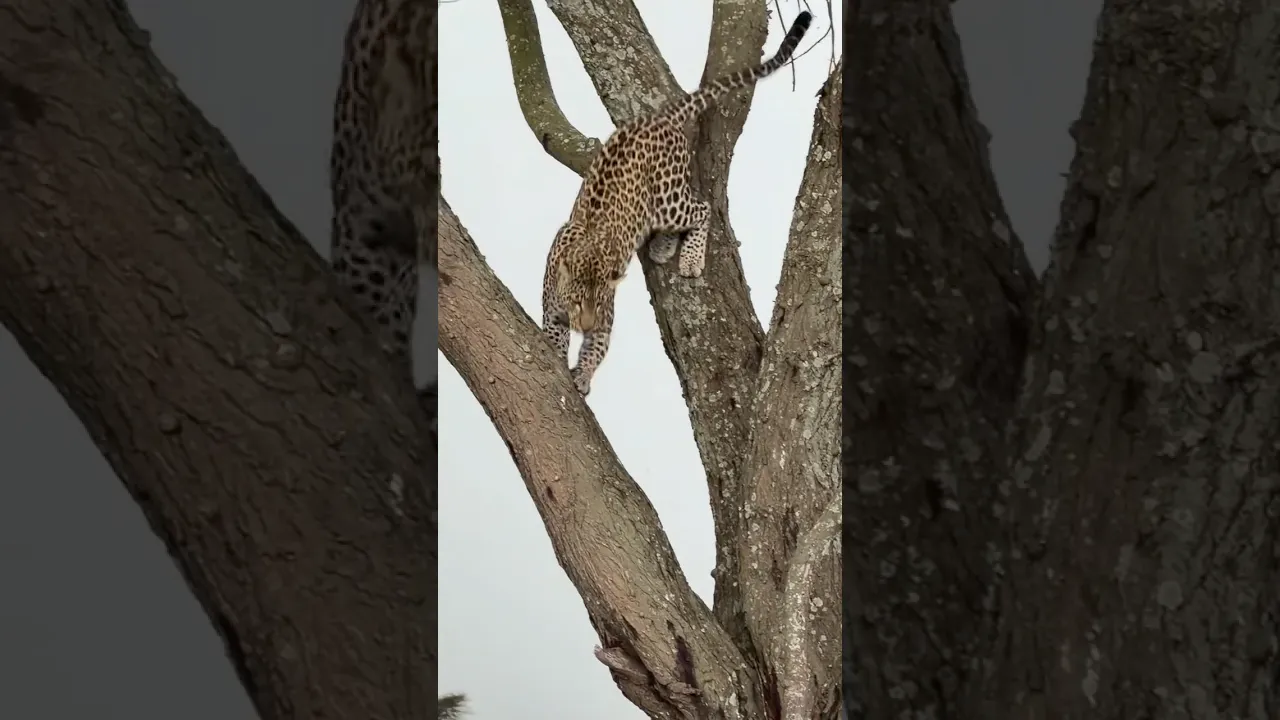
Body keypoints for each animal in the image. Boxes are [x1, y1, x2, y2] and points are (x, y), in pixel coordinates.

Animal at [541, 11, 813, 397]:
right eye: (579, 301)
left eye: (599, 303)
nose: (586, 324)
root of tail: (660, 117)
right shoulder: (551, 309)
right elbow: (555, 335)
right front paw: (561, 355)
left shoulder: (606, 319)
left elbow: (597, 348)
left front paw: (582, 374)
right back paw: (662, 247)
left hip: (669, 198)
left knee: (701, 208)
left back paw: (690, 260)